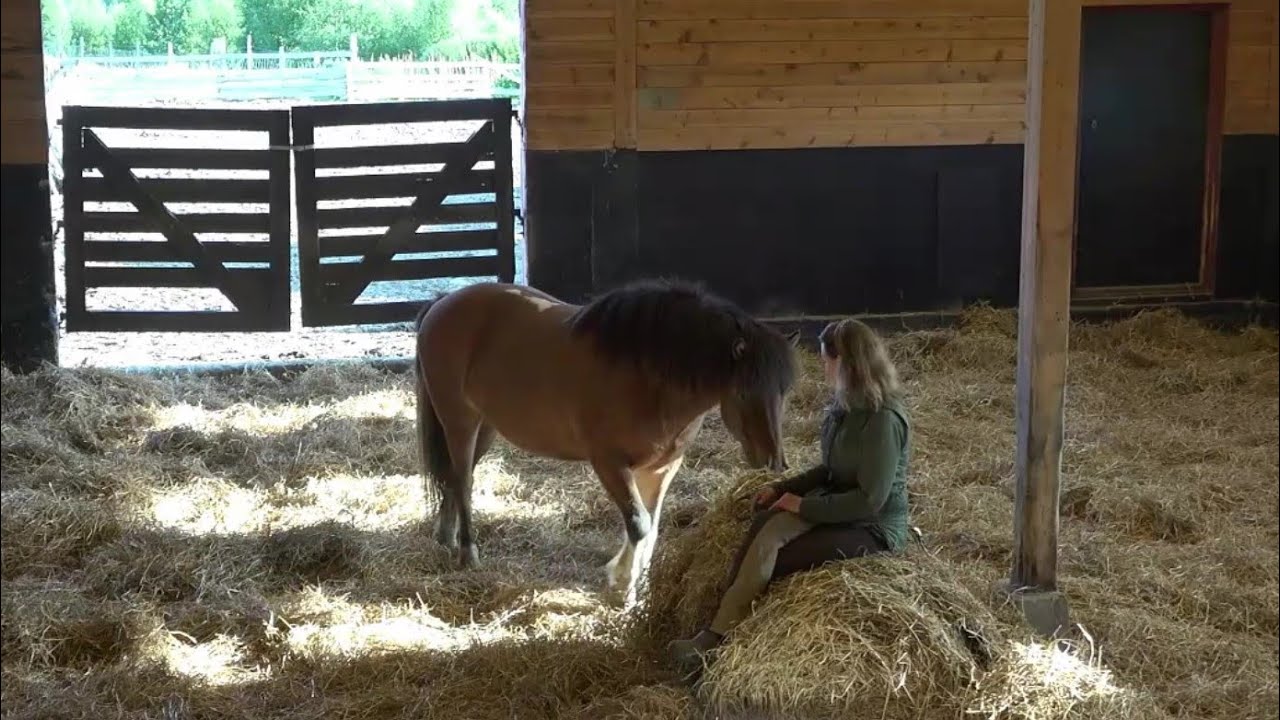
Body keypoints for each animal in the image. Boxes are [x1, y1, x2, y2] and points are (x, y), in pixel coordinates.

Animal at [412, 278, 800, 607]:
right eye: (744, 392)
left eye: (784, 392)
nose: (774, 462)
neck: (650, 376)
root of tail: (441, 303)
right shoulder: (611, 465)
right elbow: (638, 524)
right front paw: (622, 588)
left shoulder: (660, 469)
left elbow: (652, 529)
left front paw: (638, 590)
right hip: (460, 422)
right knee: (463, 480)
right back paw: (468, 552)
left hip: (486, 427)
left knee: (453, 478)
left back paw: (445, 536)